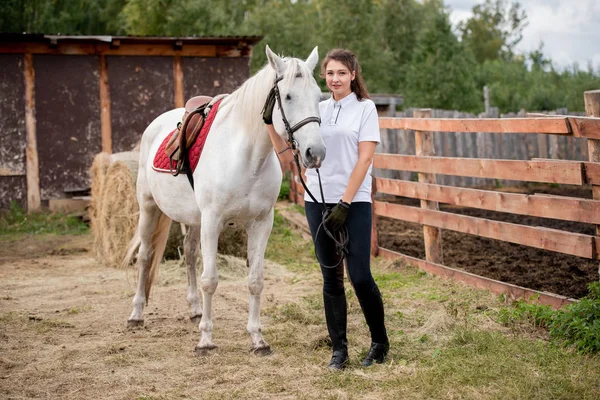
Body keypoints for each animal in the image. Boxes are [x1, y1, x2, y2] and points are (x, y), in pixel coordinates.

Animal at [122, 45, 326, 354]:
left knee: (189, 254)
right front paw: (206, 340)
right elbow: (210, 281)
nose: (316, 153)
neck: (247, 158)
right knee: (145, 256)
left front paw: (257, 338)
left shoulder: (261, 223)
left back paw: (195, 310)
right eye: (289, 96)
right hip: (149, 208)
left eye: (318, 96)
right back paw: (136, 314)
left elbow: (255, 281)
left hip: (193, 220)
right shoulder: (213, 222)